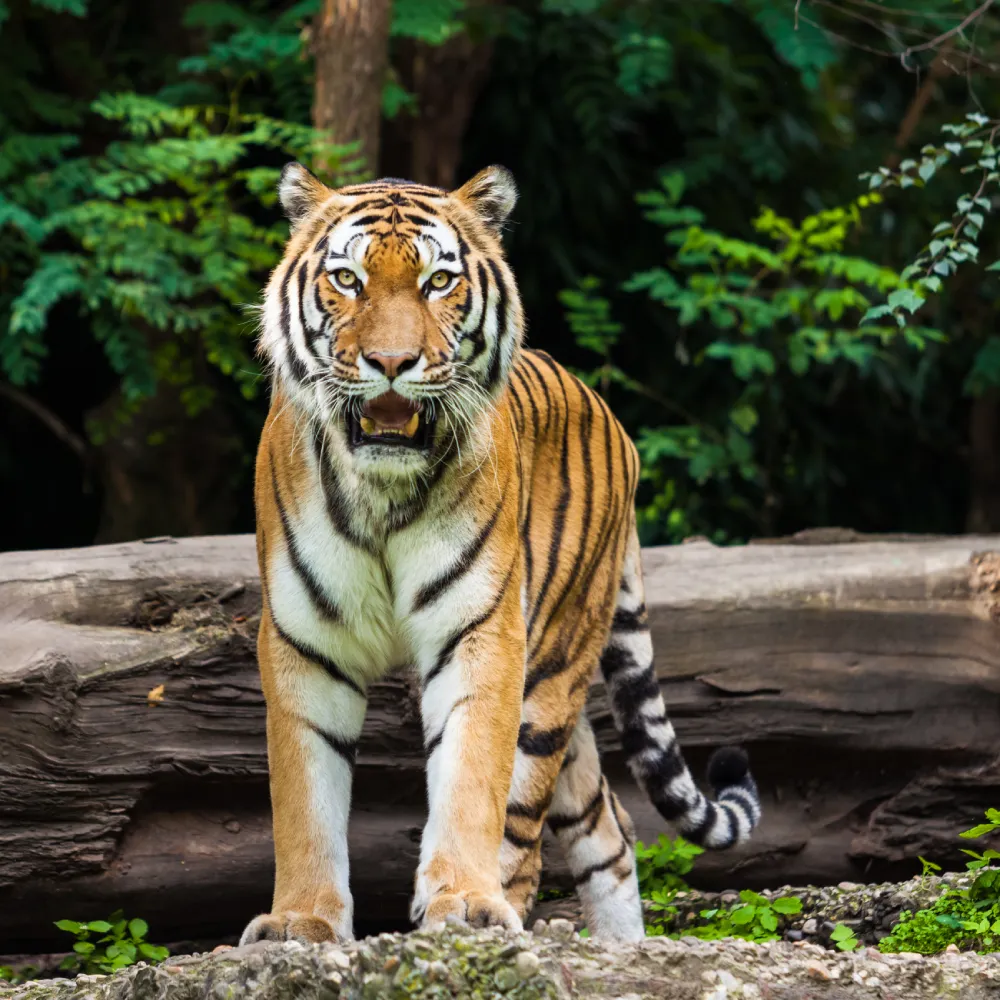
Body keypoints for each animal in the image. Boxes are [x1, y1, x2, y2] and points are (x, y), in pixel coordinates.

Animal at [240, 161, 761, 946]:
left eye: (436, 282)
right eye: (349, 280)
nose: (390, 362)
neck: (382, 494)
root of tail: (609, 414)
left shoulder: (482, 631)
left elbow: (470, 780)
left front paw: (461, 901)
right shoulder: (306, 643)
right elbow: (304, 799)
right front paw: (301, 922)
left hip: (551, 671)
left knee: (531, 825)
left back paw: (510, 913)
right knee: (609, 824)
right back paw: (620, 944)